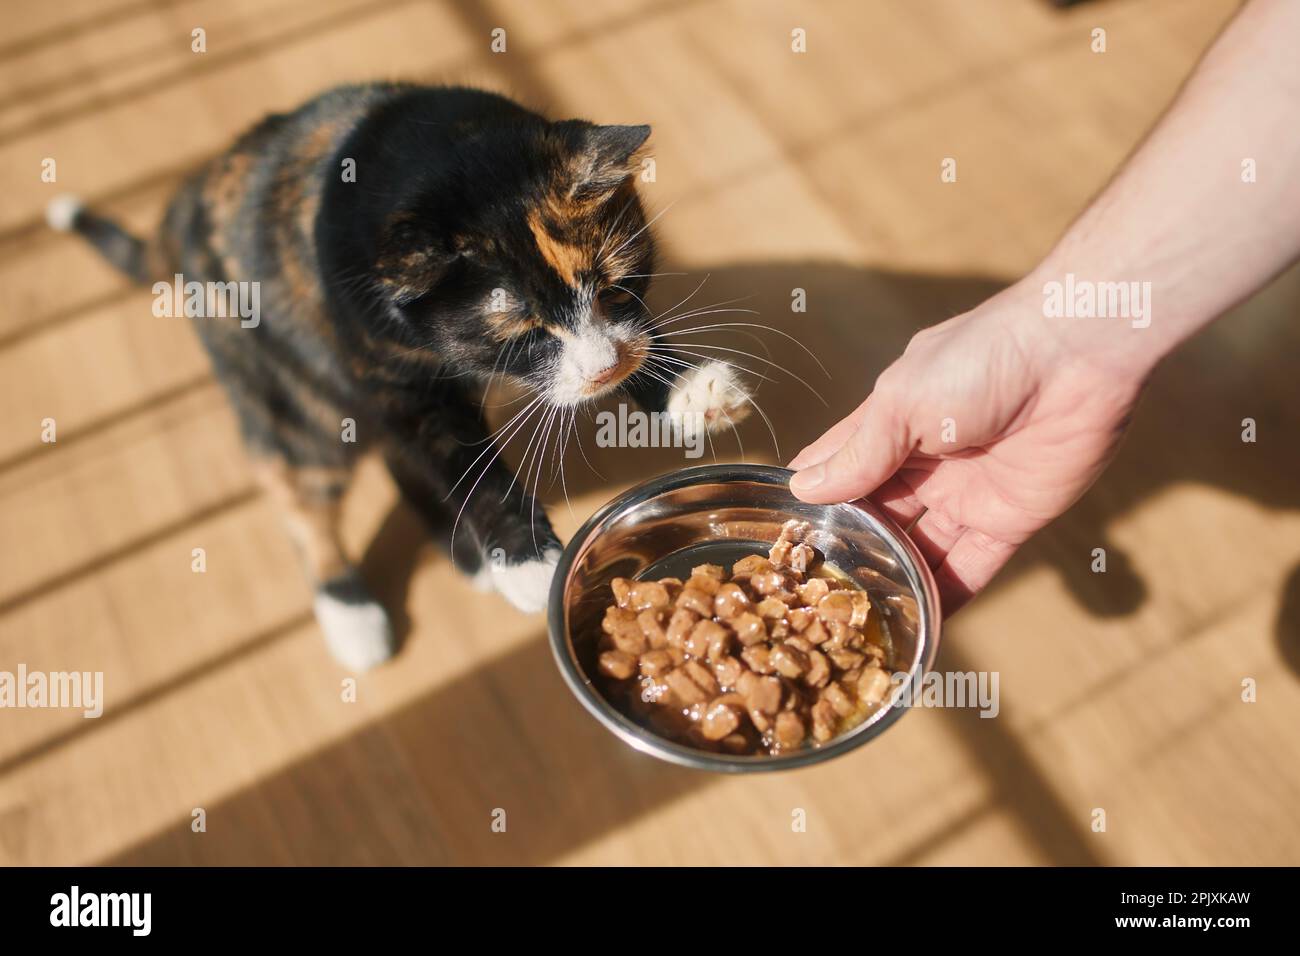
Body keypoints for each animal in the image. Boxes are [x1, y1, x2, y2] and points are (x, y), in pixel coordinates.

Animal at [50, 85, 754, 671]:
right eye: (524, 332)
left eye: (613, 290)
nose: (604, 366)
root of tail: (179, 215)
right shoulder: (395, 382)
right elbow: (464, 465)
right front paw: (527, 561)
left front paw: (692, 389)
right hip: (295, 405)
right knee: (308, 502)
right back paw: (353, 616)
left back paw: (461, 554)